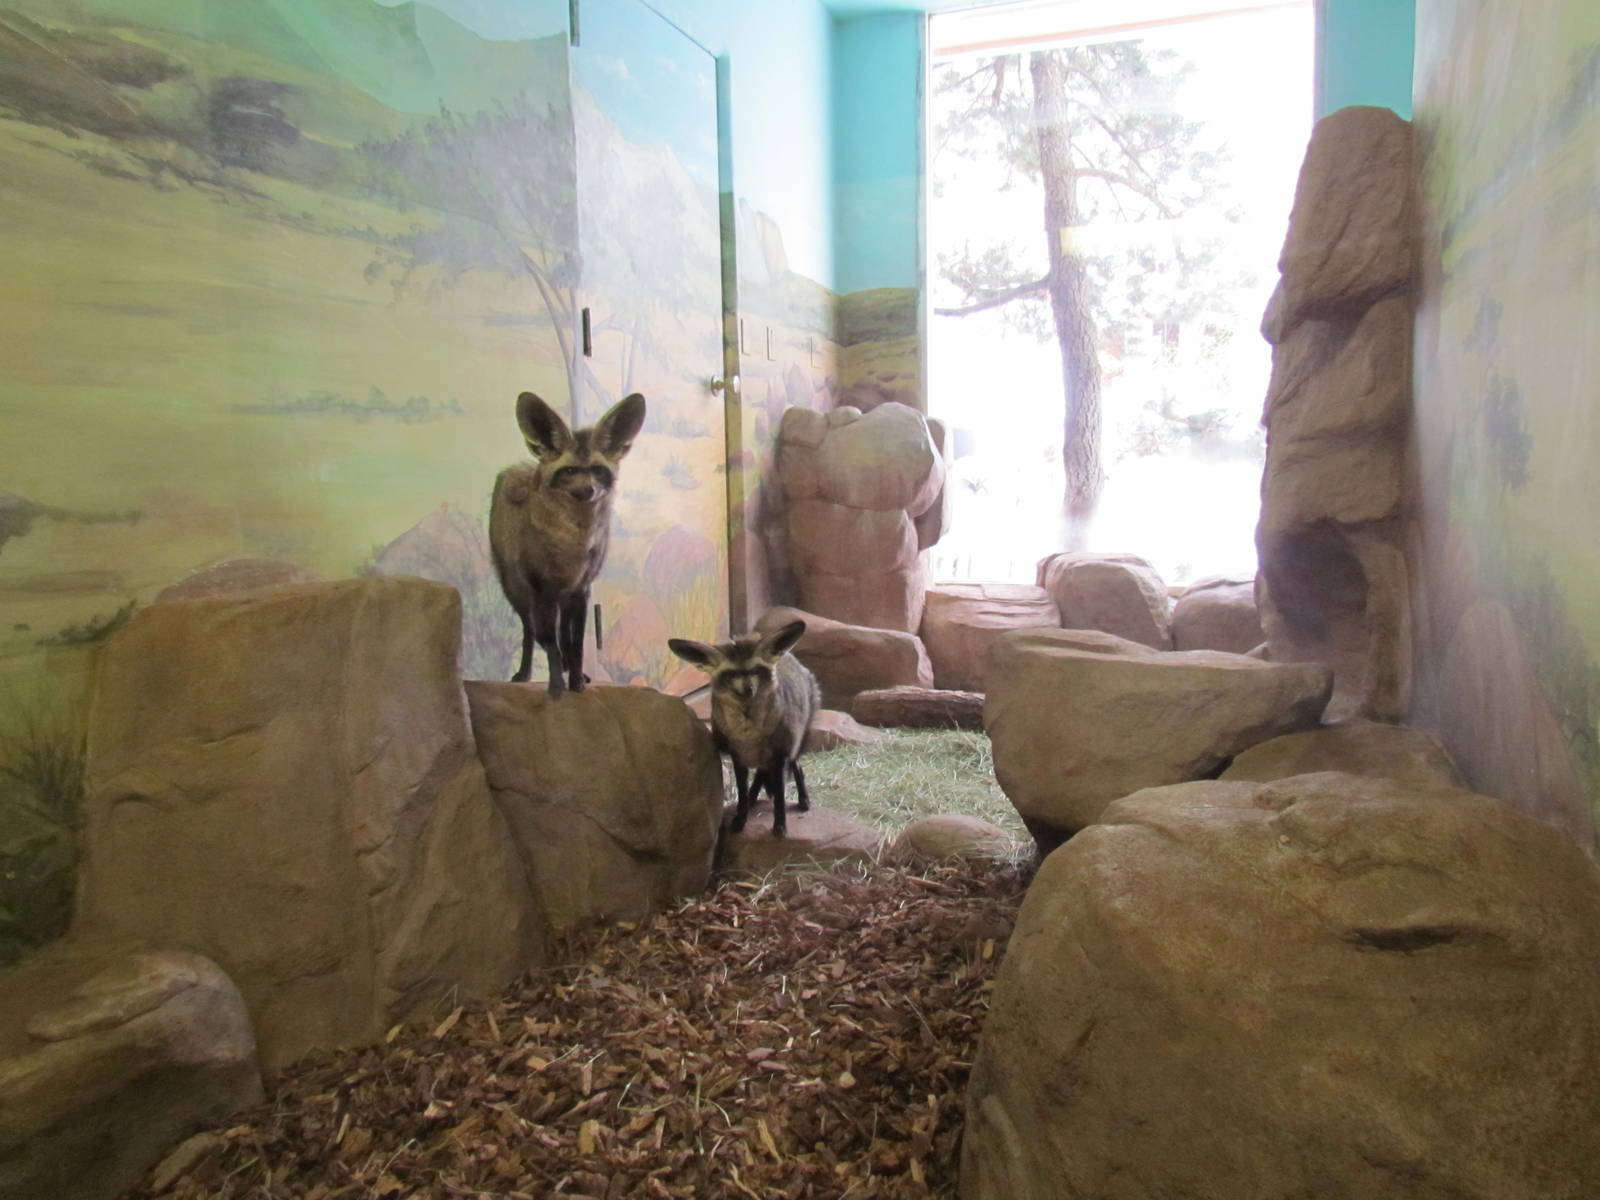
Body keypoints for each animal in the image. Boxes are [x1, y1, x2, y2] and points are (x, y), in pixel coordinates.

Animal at [489, 390, 646, 696]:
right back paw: (525, 672)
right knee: (530, 632)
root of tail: (517, 467)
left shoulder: (580, 590)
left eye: (597, 470)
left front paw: (575, 681)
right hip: (516, 592)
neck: (572, 548)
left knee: (562, 636)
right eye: (570, 470)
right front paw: (556, 685)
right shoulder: (542, 590)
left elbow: (575, 645)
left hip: (560, 599)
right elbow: (549, 642)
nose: (588, 490)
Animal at [668, 620, 820, 838]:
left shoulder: (779, 754)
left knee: (797, 767)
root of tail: (791, 657)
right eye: (732, 674)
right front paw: (741, 818)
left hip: (793, 745)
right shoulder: (738, 756)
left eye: (755, 671)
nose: (749, 690)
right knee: (761, 776)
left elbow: (780, 796)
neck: (749, 734)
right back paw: (753, 797)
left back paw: (803, 799)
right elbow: (741, 791)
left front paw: (780, 825)